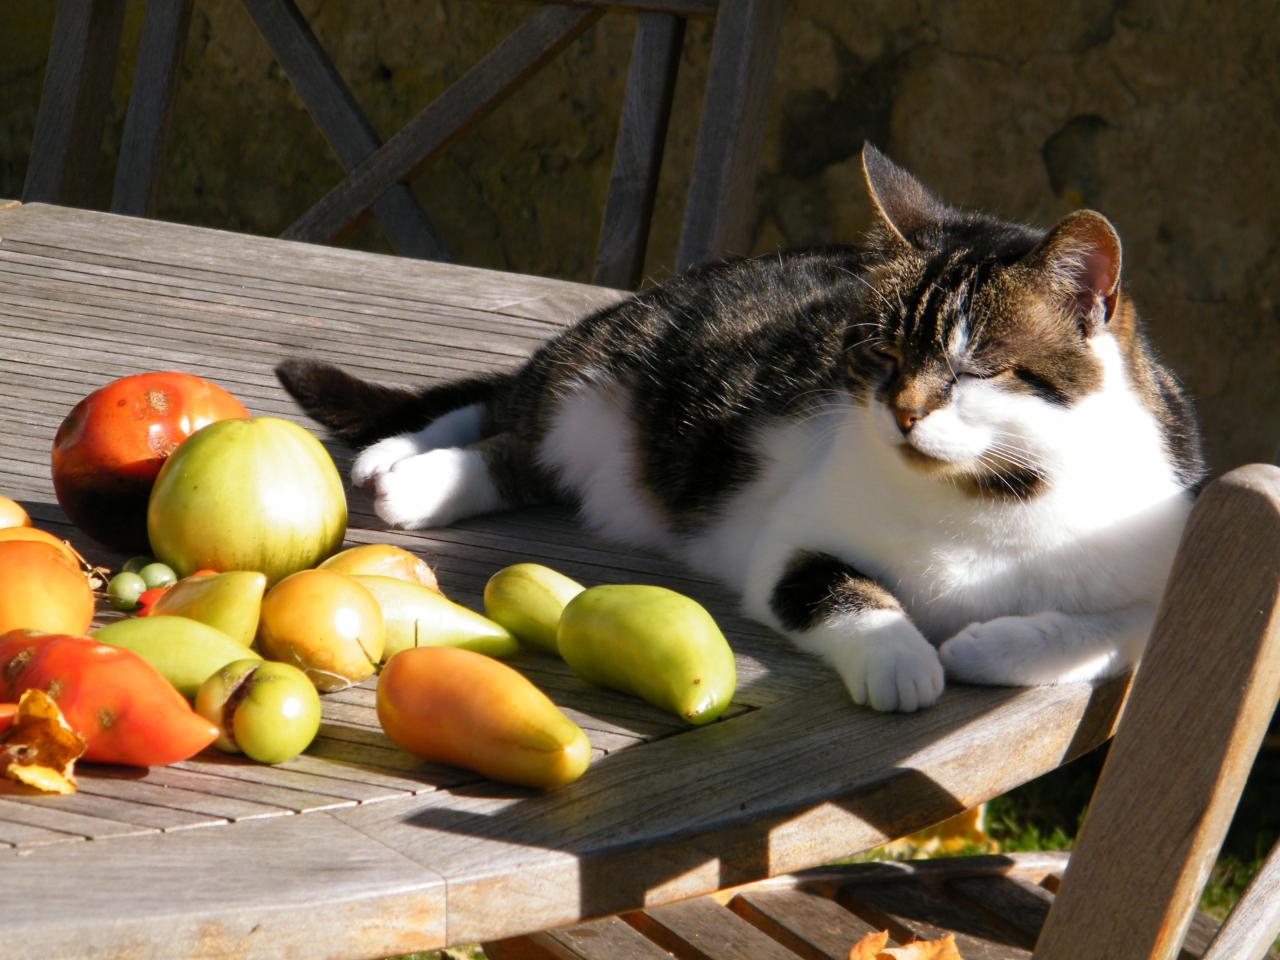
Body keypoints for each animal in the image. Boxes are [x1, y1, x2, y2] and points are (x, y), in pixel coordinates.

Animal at [275, 144, 1203, 716]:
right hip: (604, 371)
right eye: (881, 354)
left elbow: (1109, 636)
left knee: (524, 450)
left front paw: (988, 645)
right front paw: (904, 659)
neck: (994, 495)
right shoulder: (790, 541)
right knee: (509, 411)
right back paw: (405, 468)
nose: (903, 412)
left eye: (974, 369)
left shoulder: (1159, 567)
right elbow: (844, 592)